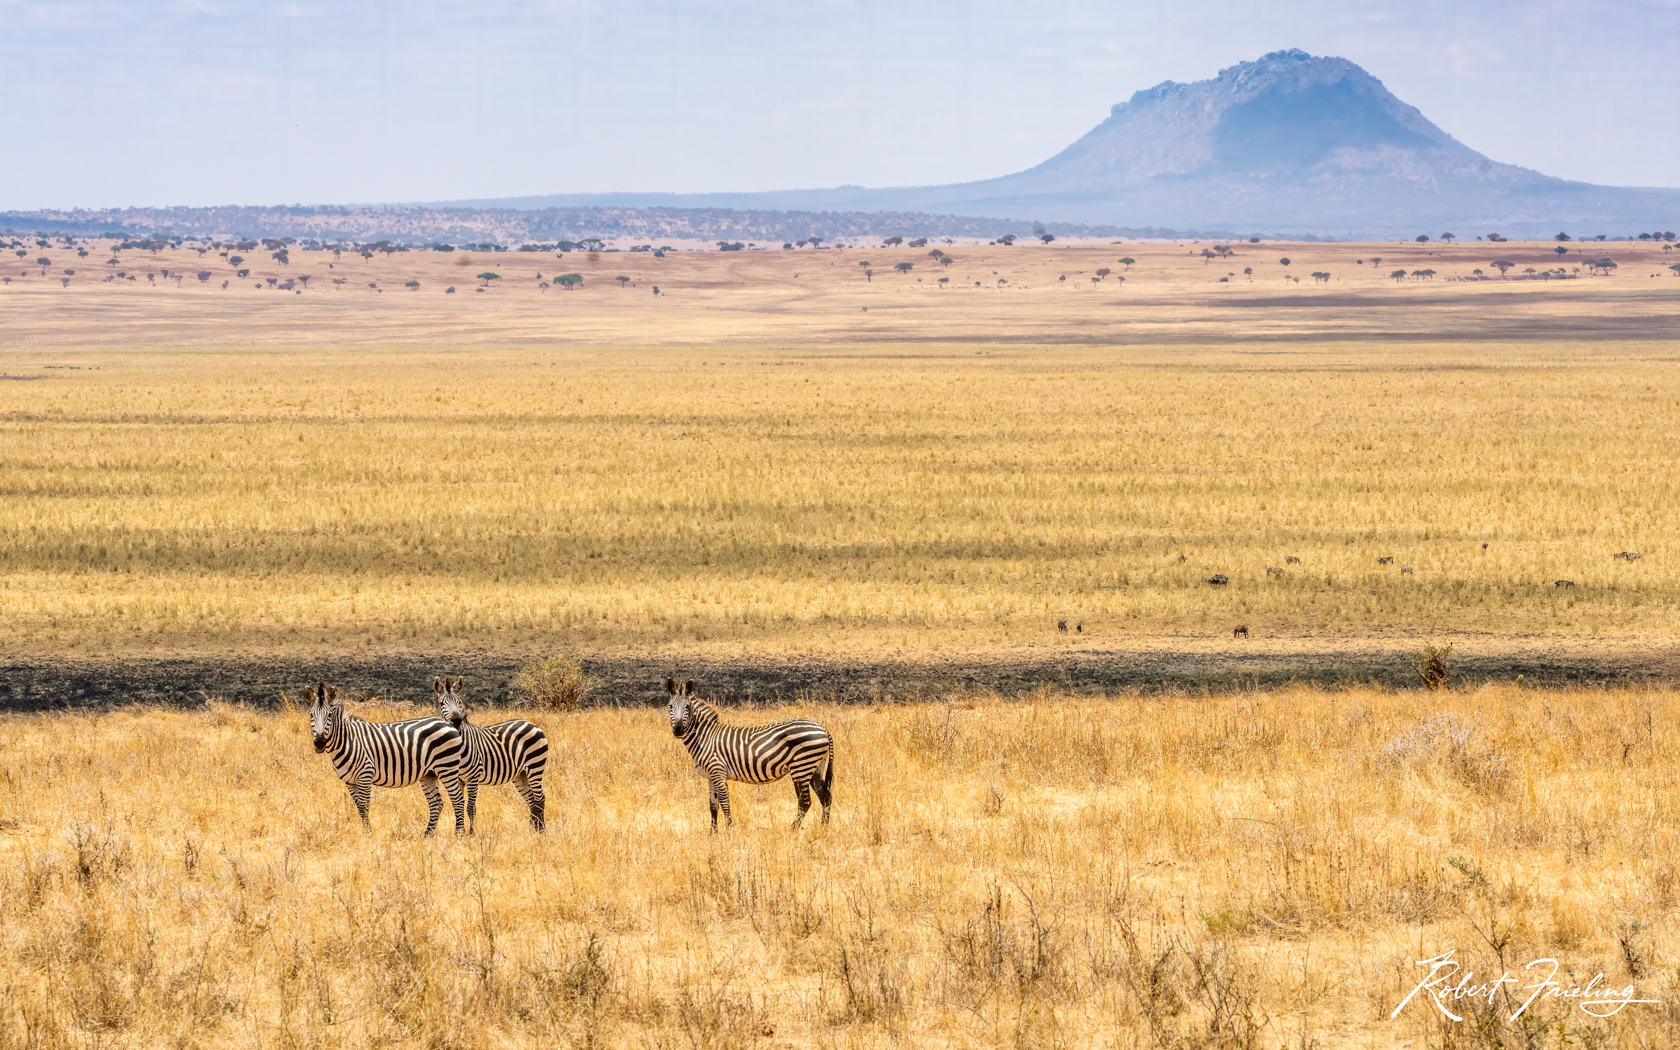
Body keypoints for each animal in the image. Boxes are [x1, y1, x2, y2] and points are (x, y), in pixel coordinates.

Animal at [305, 682, 466, 836]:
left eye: (329, 715)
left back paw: (459, 834)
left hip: (447, 767)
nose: (319, 743)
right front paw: (366, 832)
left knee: (458, 799)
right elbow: (359, 807)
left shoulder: (365, 775)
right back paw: (427, 835)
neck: (348, 740)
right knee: (436, 803)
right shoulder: (349, 781)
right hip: (429, 774)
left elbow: (364, 806)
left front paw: (367, 834)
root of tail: (448, 724)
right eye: (311, 715)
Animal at [434, 676, 549, 832]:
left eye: (459, 702)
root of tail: (531, 724)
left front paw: (471, 833)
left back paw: (541, 830)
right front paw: (462, 831)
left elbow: (470, 808)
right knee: (531, 800)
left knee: (540, 798)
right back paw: (532, 829)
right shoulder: (458, 779)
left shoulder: (473, 778)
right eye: (441, 703)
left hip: (535, 767)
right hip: (521, 774)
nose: (457, 721)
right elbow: (459, 805)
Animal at [665, 678, 834, 832]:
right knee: (825, 797)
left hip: (801, 767)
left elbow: (725, 803)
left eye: (687, 706)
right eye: (670, 706)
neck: (705, 737)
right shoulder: (711, 776)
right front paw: (712, 834)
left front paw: (729, 831)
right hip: (815, 768)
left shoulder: (718, 771)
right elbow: (713, 805)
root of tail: (823, 728)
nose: (678, 729)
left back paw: (793, 830)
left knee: (805, 802)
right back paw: (823, 828)